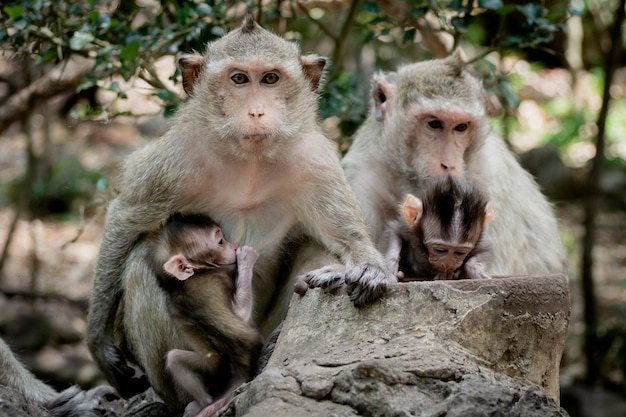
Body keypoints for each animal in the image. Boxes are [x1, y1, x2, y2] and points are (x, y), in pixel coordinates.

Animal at [86, 15, 394, 406]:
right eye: (239, 79)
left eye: (271, 79)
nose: (256, 111)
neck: (250, 160)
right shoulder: (176, 158)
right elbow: (125, 220)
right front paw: (98, 342)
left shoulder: (315, 161)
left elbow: (347, 237)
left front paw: (366, 270)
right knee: (141, 261)